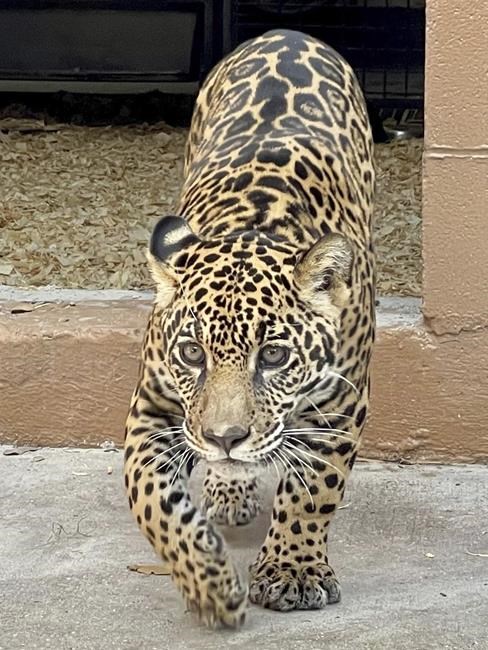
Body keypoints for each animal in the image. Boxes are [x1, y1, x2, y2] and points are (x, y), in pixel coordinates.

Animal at [124, 28, 375, 628]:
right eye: (193, 354)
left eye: (275, 357)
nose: (225, 437)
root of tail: (286, 32)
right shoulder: (151, 408)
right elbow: (153, 501)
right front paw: (209, 585)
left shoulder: (341, 404)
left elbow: (314, 488)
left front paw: (294, 571)